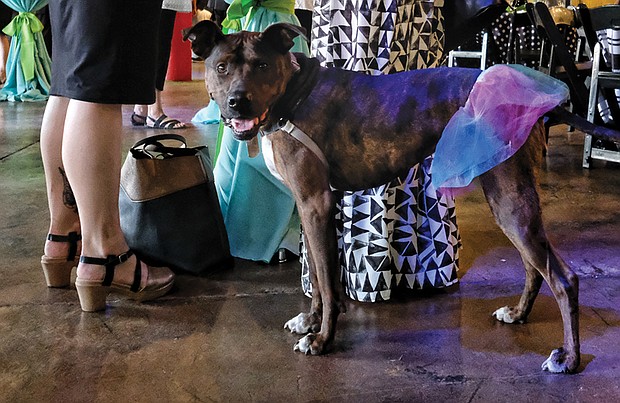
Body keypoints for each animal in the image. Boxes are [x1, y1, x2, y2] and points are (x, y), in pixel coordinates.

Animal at [185, 19, 620, 372]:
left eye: (261, 65)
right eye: (221, 68)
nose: (237, 101)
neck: (291, 95)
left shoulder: (316, 203)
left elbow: (324, 278)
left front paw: (322, 339)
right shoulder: (308, 207)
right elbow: (317, 273)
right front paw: (310, 321)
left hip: (509, 198)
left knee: (562, 278)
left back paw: (569, 359)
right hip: (511, 198)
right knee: (538, 266)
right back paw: (518, 313)